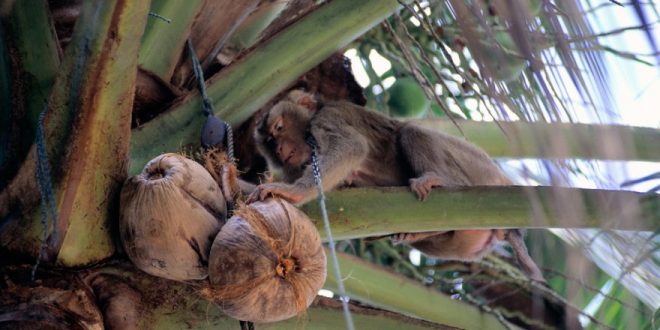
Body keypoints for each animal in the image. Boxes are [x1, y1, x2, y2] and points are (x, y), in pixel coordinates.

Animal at [250, 89, 544, 282]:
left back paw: (438, 179)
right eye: (270, 143)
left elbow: (352, 147)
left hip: (477, 168)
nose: (279, 149)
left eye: (279, 128)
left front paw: (292, 192)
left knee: (411, 131)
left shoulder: (328, 118)